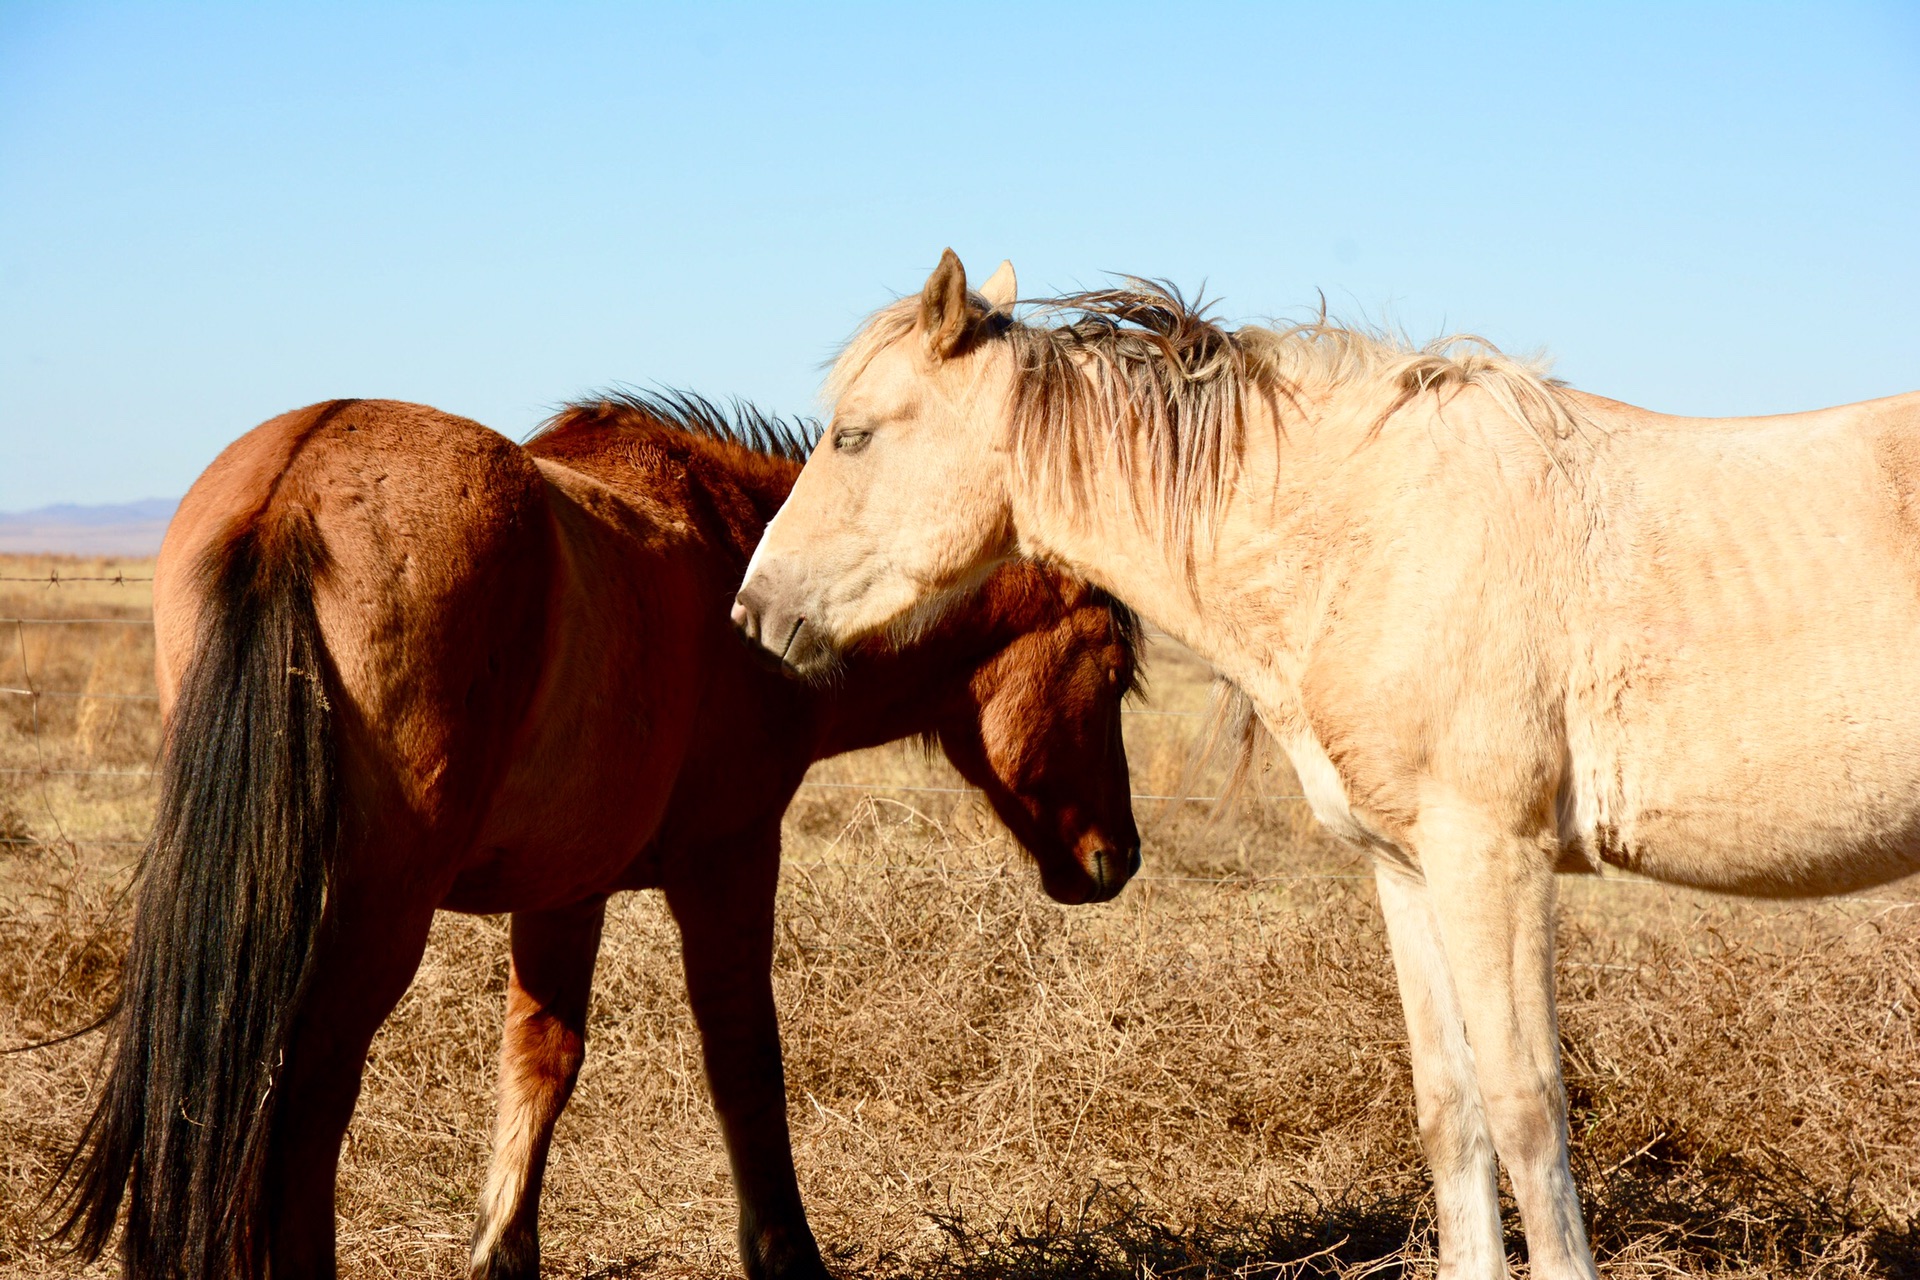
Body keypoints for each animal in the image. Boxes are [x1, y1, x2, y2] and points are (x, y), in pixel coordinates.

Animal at [56, 393, 1136, 1280]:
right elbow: (746, 1059)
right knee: (306, 1098)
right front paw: (787, 1252)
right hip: (375, 922)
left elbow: (542, 1061)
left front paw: (504, 1250)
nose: (1118, 857)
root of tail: (294, 488)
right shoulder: (731, 862)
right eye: (1117, 668)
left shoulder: (563, 893)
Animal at [729, 245, 1920, 1274]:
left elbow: (1528, 1110)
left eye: (853, 436)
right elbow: (1453, 1112)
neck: (1369, 531)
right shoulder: (1408, 868)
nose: (752, 612)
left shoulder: (1493, 858)